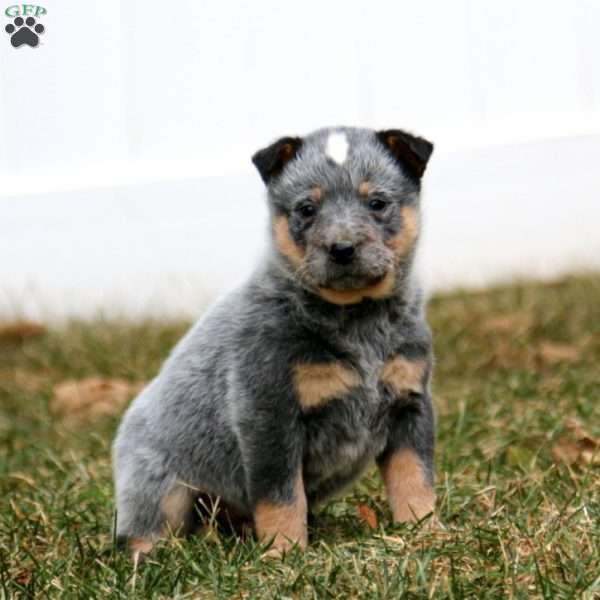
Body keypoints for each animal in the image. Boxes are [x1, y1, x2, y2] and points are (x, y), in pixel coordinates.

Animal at [110, 126, 434, 556]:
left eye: (377, 203)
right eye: (307, 208)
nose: (342, 248)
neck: (357, 320)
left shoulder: (409, 401)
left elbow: (415, 477)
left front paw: (426, 532)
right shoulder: (268, 413)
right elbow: (280, 495)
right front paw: (285, 552)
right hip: (161, 486)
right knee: (145, 528)